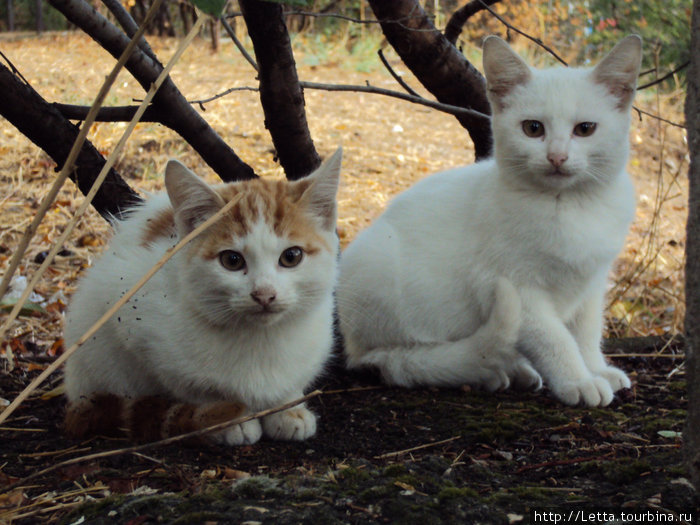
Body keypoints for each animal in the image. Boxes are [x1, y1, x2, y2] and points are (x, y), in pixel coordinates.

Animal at [64, 147, 344, 442]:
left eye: (291, 257)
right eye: (231, 260)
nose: (264, 294)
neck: (260, 338)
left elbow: (293, 382)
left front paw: (288, 408)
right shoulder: (137, 328)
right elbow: (192, 387)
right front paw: (228, 417)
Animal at [336, 36, 644, 408]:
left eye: (585, 129)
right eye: (533, 128)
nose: (557, 157)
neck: (569, 206)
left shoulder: (591, 285)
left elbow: (586, 333)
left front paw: (596, 369)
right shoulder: (518, 290)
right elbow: (555, 339)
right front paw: (578, 380)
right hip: (382, 277)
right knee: (394, 361)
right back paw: (485, 370)